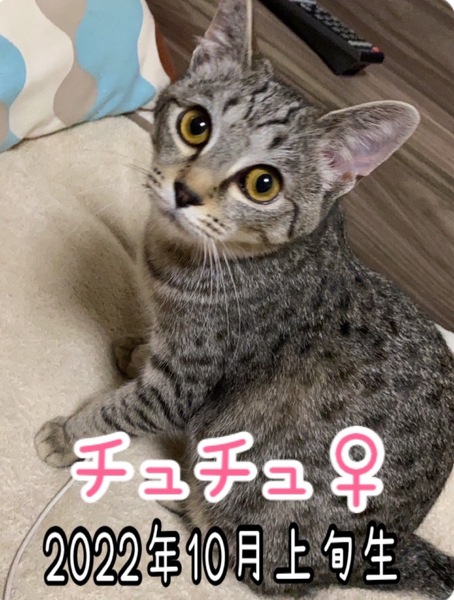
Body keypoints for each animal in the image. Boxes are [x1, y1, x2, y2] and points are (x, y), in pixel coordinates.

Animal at [35, 0, 454, 596]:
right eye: (196, 125)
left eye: (263, 184)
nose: (185, 192)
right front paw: (135, 350)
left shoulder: (182, 386)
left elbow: (123, 409)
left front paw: (70, 435)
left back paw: (187, 504)